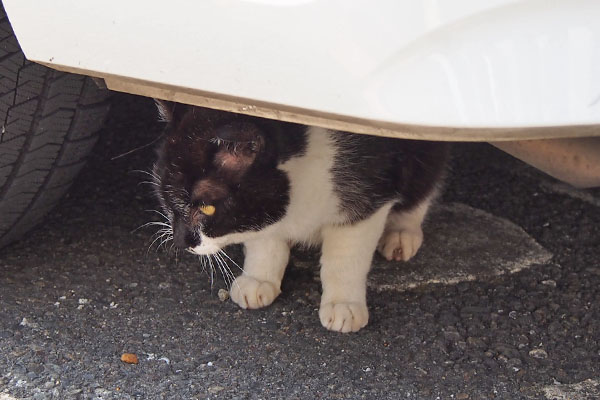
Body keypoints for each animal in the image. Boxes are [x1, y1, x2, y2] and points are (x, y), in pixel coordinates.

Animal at [152, 101, 448, 332]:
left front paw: (343, 304)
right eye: (163, 192)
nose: (180, 241)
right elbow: (265, 241)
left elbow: (345, 259)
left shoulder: (367, 192)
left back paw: (401, 233)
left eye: (207, 208)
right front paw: (258, 279)